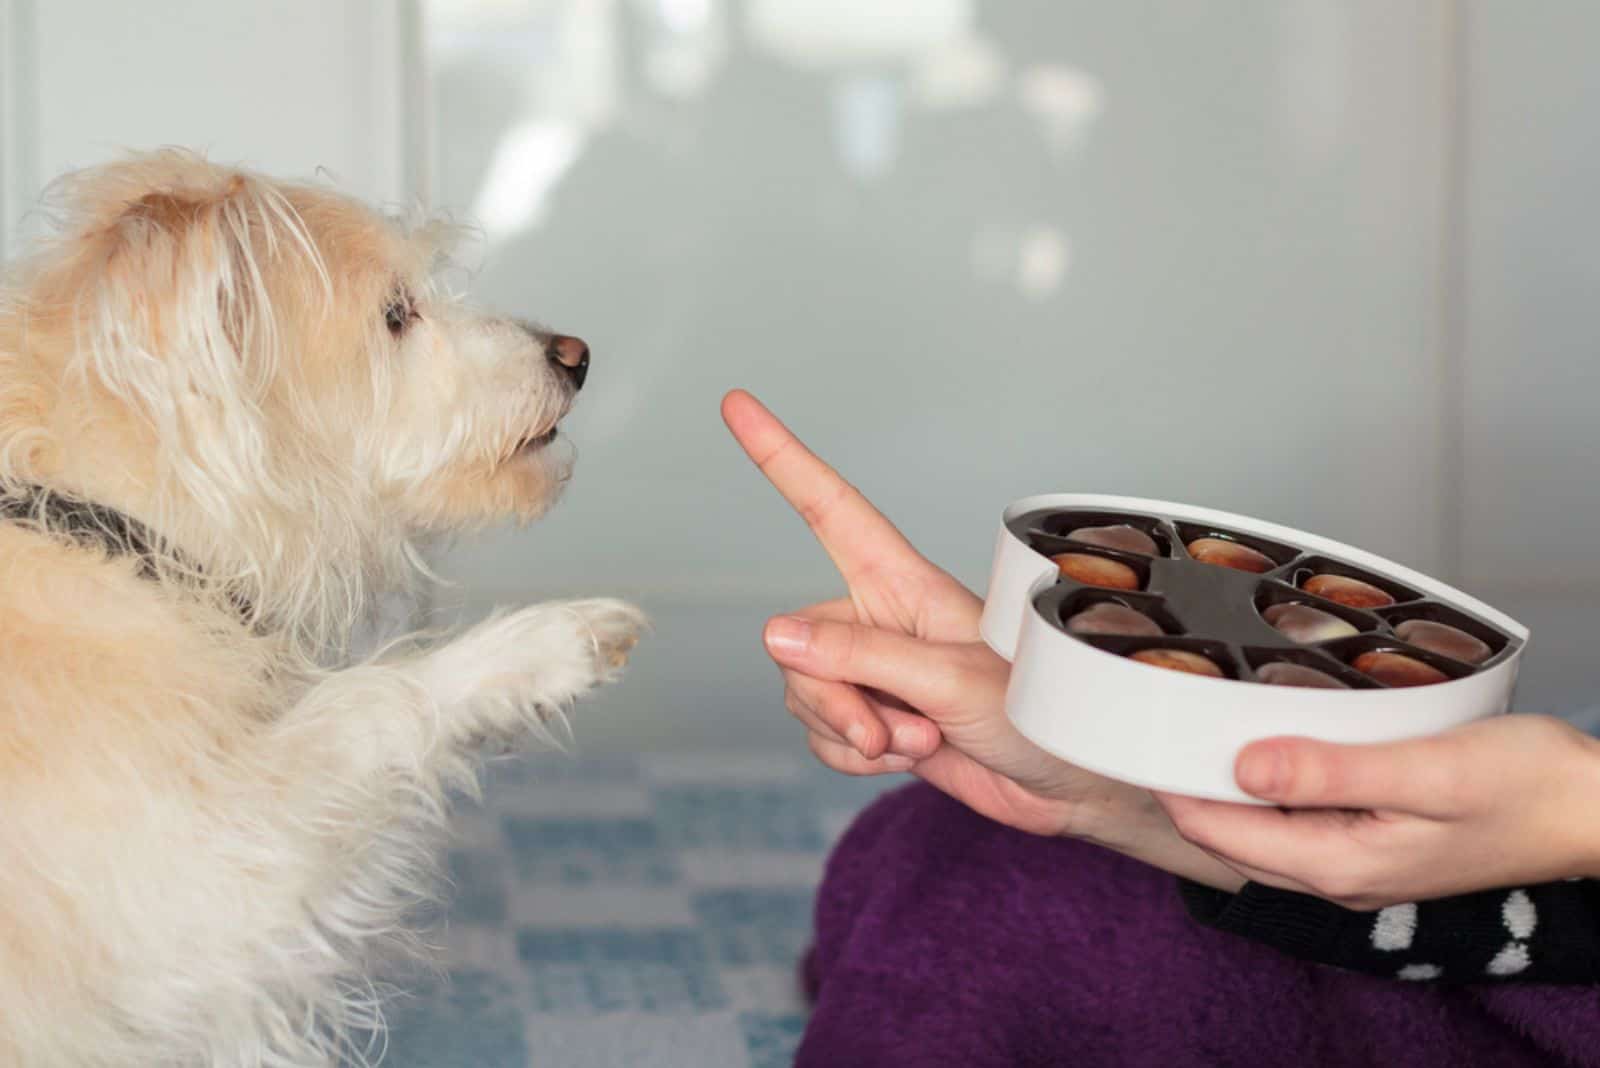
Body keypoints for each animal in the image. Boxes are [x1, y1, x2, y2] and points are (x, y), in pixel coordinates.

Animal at [3, 151, 646, 1068]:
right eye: (396, 316)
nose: (576, 353)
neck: (112, 528)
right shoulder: (201, 879)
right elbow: (367, 700)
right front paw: (544, 646)